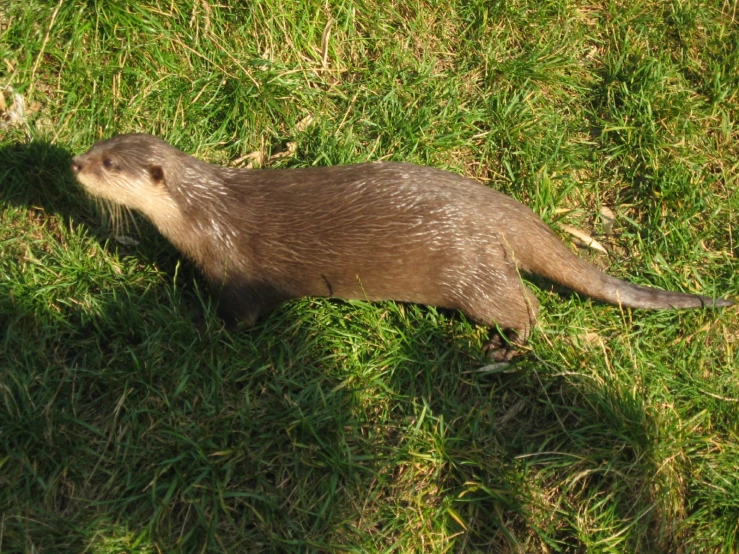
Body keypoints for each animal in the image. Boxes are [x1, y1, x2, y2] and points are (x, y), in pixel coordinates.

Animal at [72, 134, 732, 358]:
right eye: (102, 142)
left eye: (110, 164)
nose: (75, 162)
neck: (205, 213)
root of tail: (494, 202)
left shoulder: (237, 271)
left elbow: (242, 318)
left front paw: (194, 327)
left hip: (468, 272)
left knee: (524, 305)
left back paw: (505, 347)